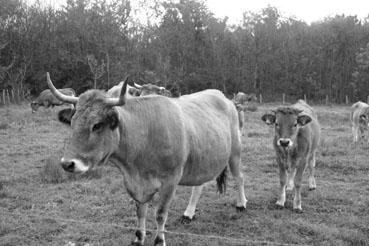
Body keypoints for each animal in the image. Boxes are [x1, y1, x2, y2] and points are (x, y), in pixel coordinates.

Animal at [46, 72, 247, 245]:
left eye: (97, 125)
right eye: (72, 122)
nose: (68, 164)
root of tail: (223, 97)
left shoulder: (170, 180)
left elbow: (160, 213)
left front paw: (159, 240)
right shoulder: (135, 183)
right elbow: (140, 211)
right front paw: (138, 237)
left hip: (235, 151)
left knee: (239, 177)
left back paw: (241, 204)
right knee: (199, 186)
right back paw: (189, 213)